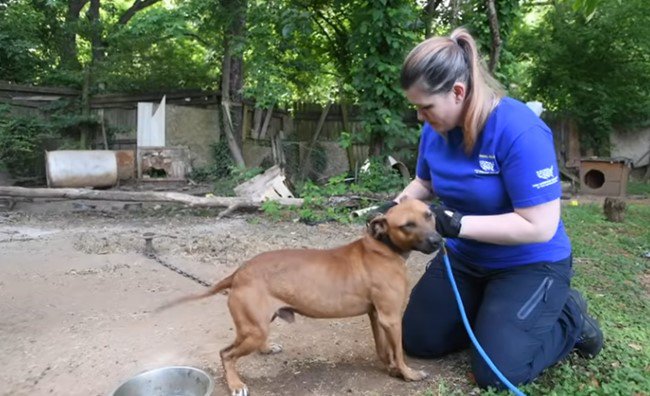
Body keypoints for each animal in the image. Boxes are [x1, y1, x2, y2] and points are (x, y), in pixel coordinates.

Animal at [158, 200, 440, 394]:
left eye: (429, 215)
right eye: (407, 225)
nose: (438, 241)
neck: (384, 247)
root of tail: (239, 272)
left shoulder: (377, 315)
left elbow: (384, 349)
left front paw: (391, 368)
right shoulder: (391, 318)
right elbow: (399, 351)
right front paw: (408, 373)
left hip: (258, 323)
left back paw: (267, 348)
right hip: (254, 329)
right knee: (226, 353)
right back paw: (236, 384)